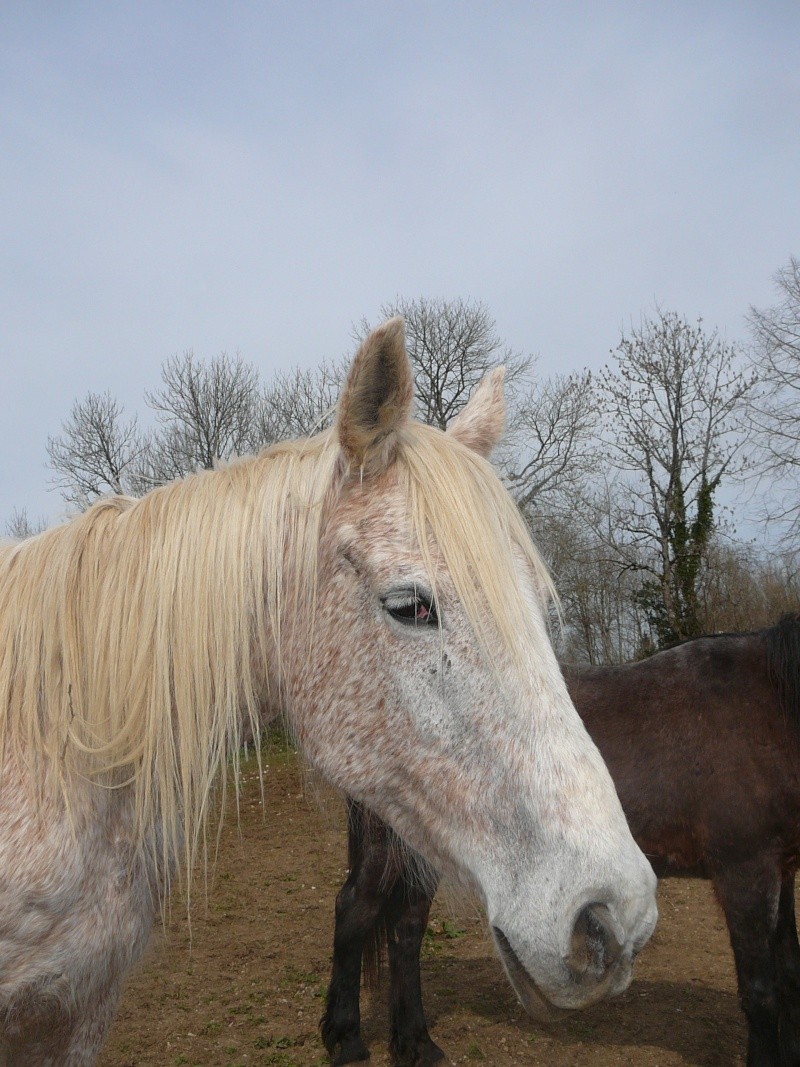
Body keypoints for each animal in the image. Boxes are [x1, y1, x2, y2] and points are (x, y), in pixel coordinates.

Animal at [322, 618, 800, 1067]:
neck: (769, 704)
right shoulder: (745, 872)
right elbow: (761, 990)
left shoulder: (783, 871)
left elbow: (788, 973)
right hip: (390, 851)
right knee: (355, 913)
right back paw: (346, 1039)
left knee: (407, 929)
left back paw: (416, 1044)